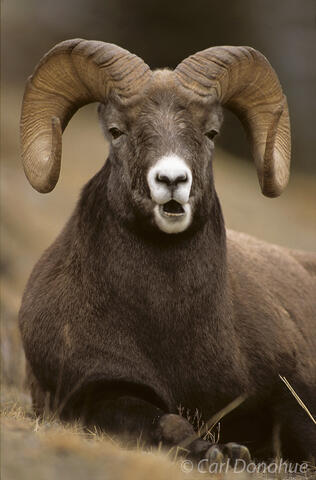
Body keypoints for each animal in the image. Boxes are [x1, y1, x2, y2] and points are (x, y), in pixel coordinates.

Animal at [18, 40, 314, 462]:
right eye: (116, 131)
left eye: (211, 132)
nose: (172, 180)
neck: (167, 323)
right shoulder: (101, 391)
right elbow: (169, 423)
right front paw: (220, 452)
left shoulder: (287, 393)